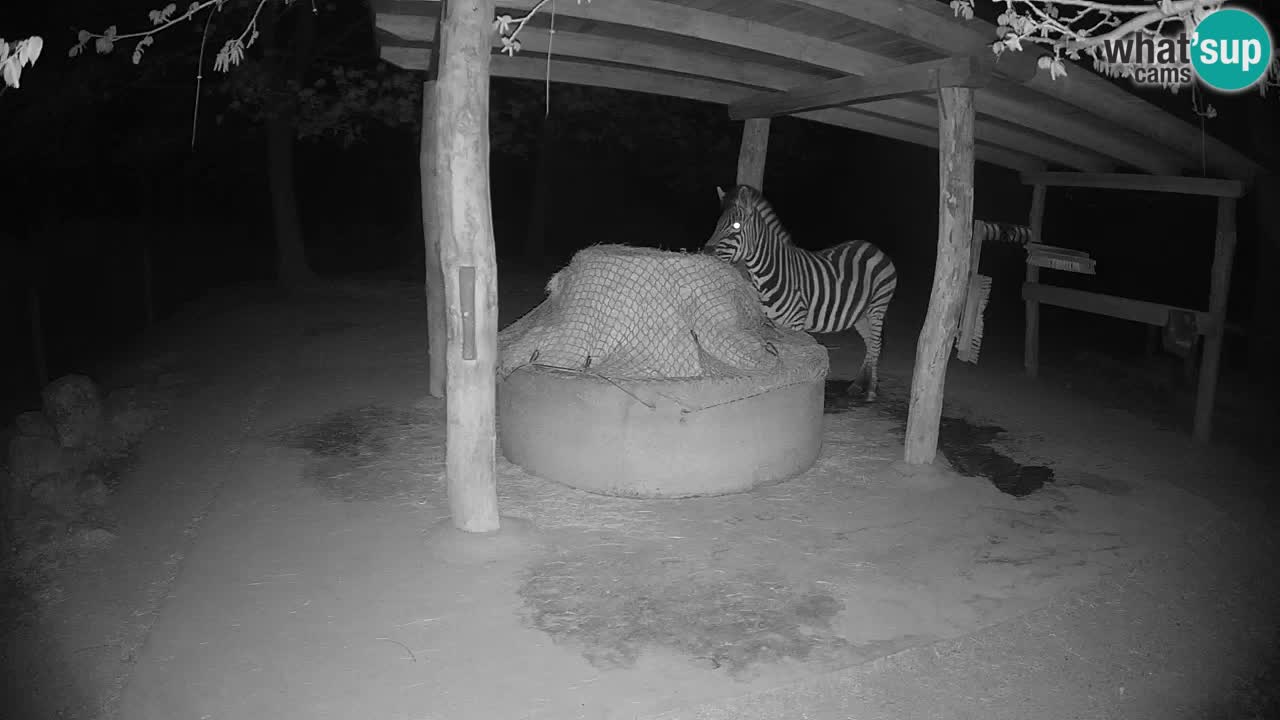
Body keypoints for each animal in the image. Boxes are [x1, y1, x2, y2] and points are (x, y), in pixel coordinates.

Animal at [703, 184, 898, 402]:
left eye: (736, 226)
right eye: (717, 224)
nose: (705, 252)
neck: (771, 273)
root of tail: (873, 247)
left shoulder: (794, 324)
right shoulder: (773, 324)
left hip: (877, 307)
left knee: (876, 344)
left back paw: (871, 390)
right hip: (861, 314)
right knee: (869, 343)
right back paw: (857, 385)